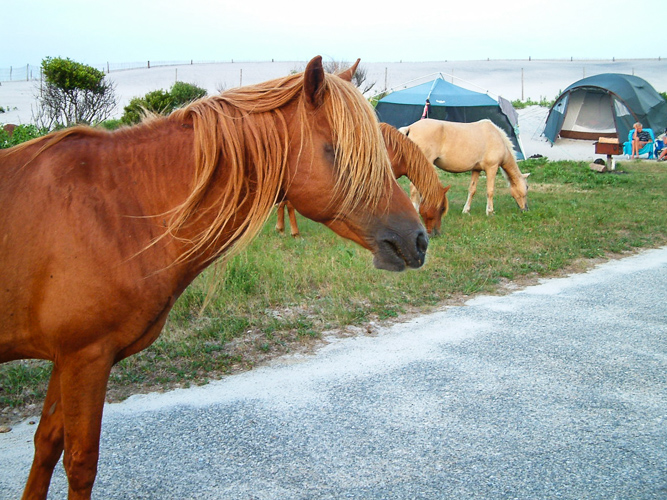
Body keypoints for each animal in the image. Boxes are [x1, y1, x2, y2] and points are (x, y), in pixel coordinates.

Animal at [0, 56, 428, 500]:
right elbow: (81, 462)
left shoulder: (66, 358)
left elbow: (47, 444)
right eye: (337, 151)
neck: (120, 210)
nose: (419, 240)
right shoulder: (85, 358)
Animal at [399, 118, 529, 215]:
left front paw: (466, 210)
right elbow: (490, 191)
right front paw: (490, 211)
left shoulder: (476, 169)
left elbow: (472, 190)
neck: (496, 137)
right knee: (414, 187)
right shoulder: (492, 168)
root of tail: (410, 127)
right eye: (527, 187)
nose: (525, 209)